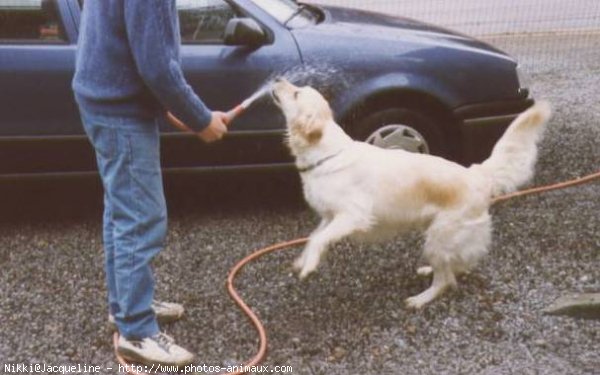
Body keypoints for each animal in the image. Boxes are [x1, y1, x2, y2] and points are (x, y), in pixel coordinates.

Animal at [270, 78, 552, 308]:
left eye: (296, 93)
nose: (276, 78)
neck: (325, 153)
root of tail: (476, 174)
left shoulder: (353, 215)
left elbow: (319, 239)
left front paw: (309, 266)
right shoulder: (329, 217)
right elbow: (314, 237)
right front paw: (304, 260)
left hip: (440, 235)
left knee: (446, 280)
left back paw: (420, 299)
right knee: (455, 266)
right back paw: (429, 270)